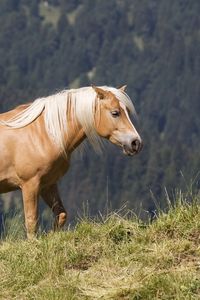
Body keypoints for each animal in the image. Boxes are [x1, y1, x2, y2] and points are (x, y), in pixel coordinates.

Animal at [0, 85, 142, 238]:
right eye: (115, 113)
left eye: (127, 112)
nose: (135, 143)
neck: (45, 133)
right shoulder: (29, 185)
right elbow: (32, 223)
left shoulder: (48, 184)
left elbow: (61, 215)